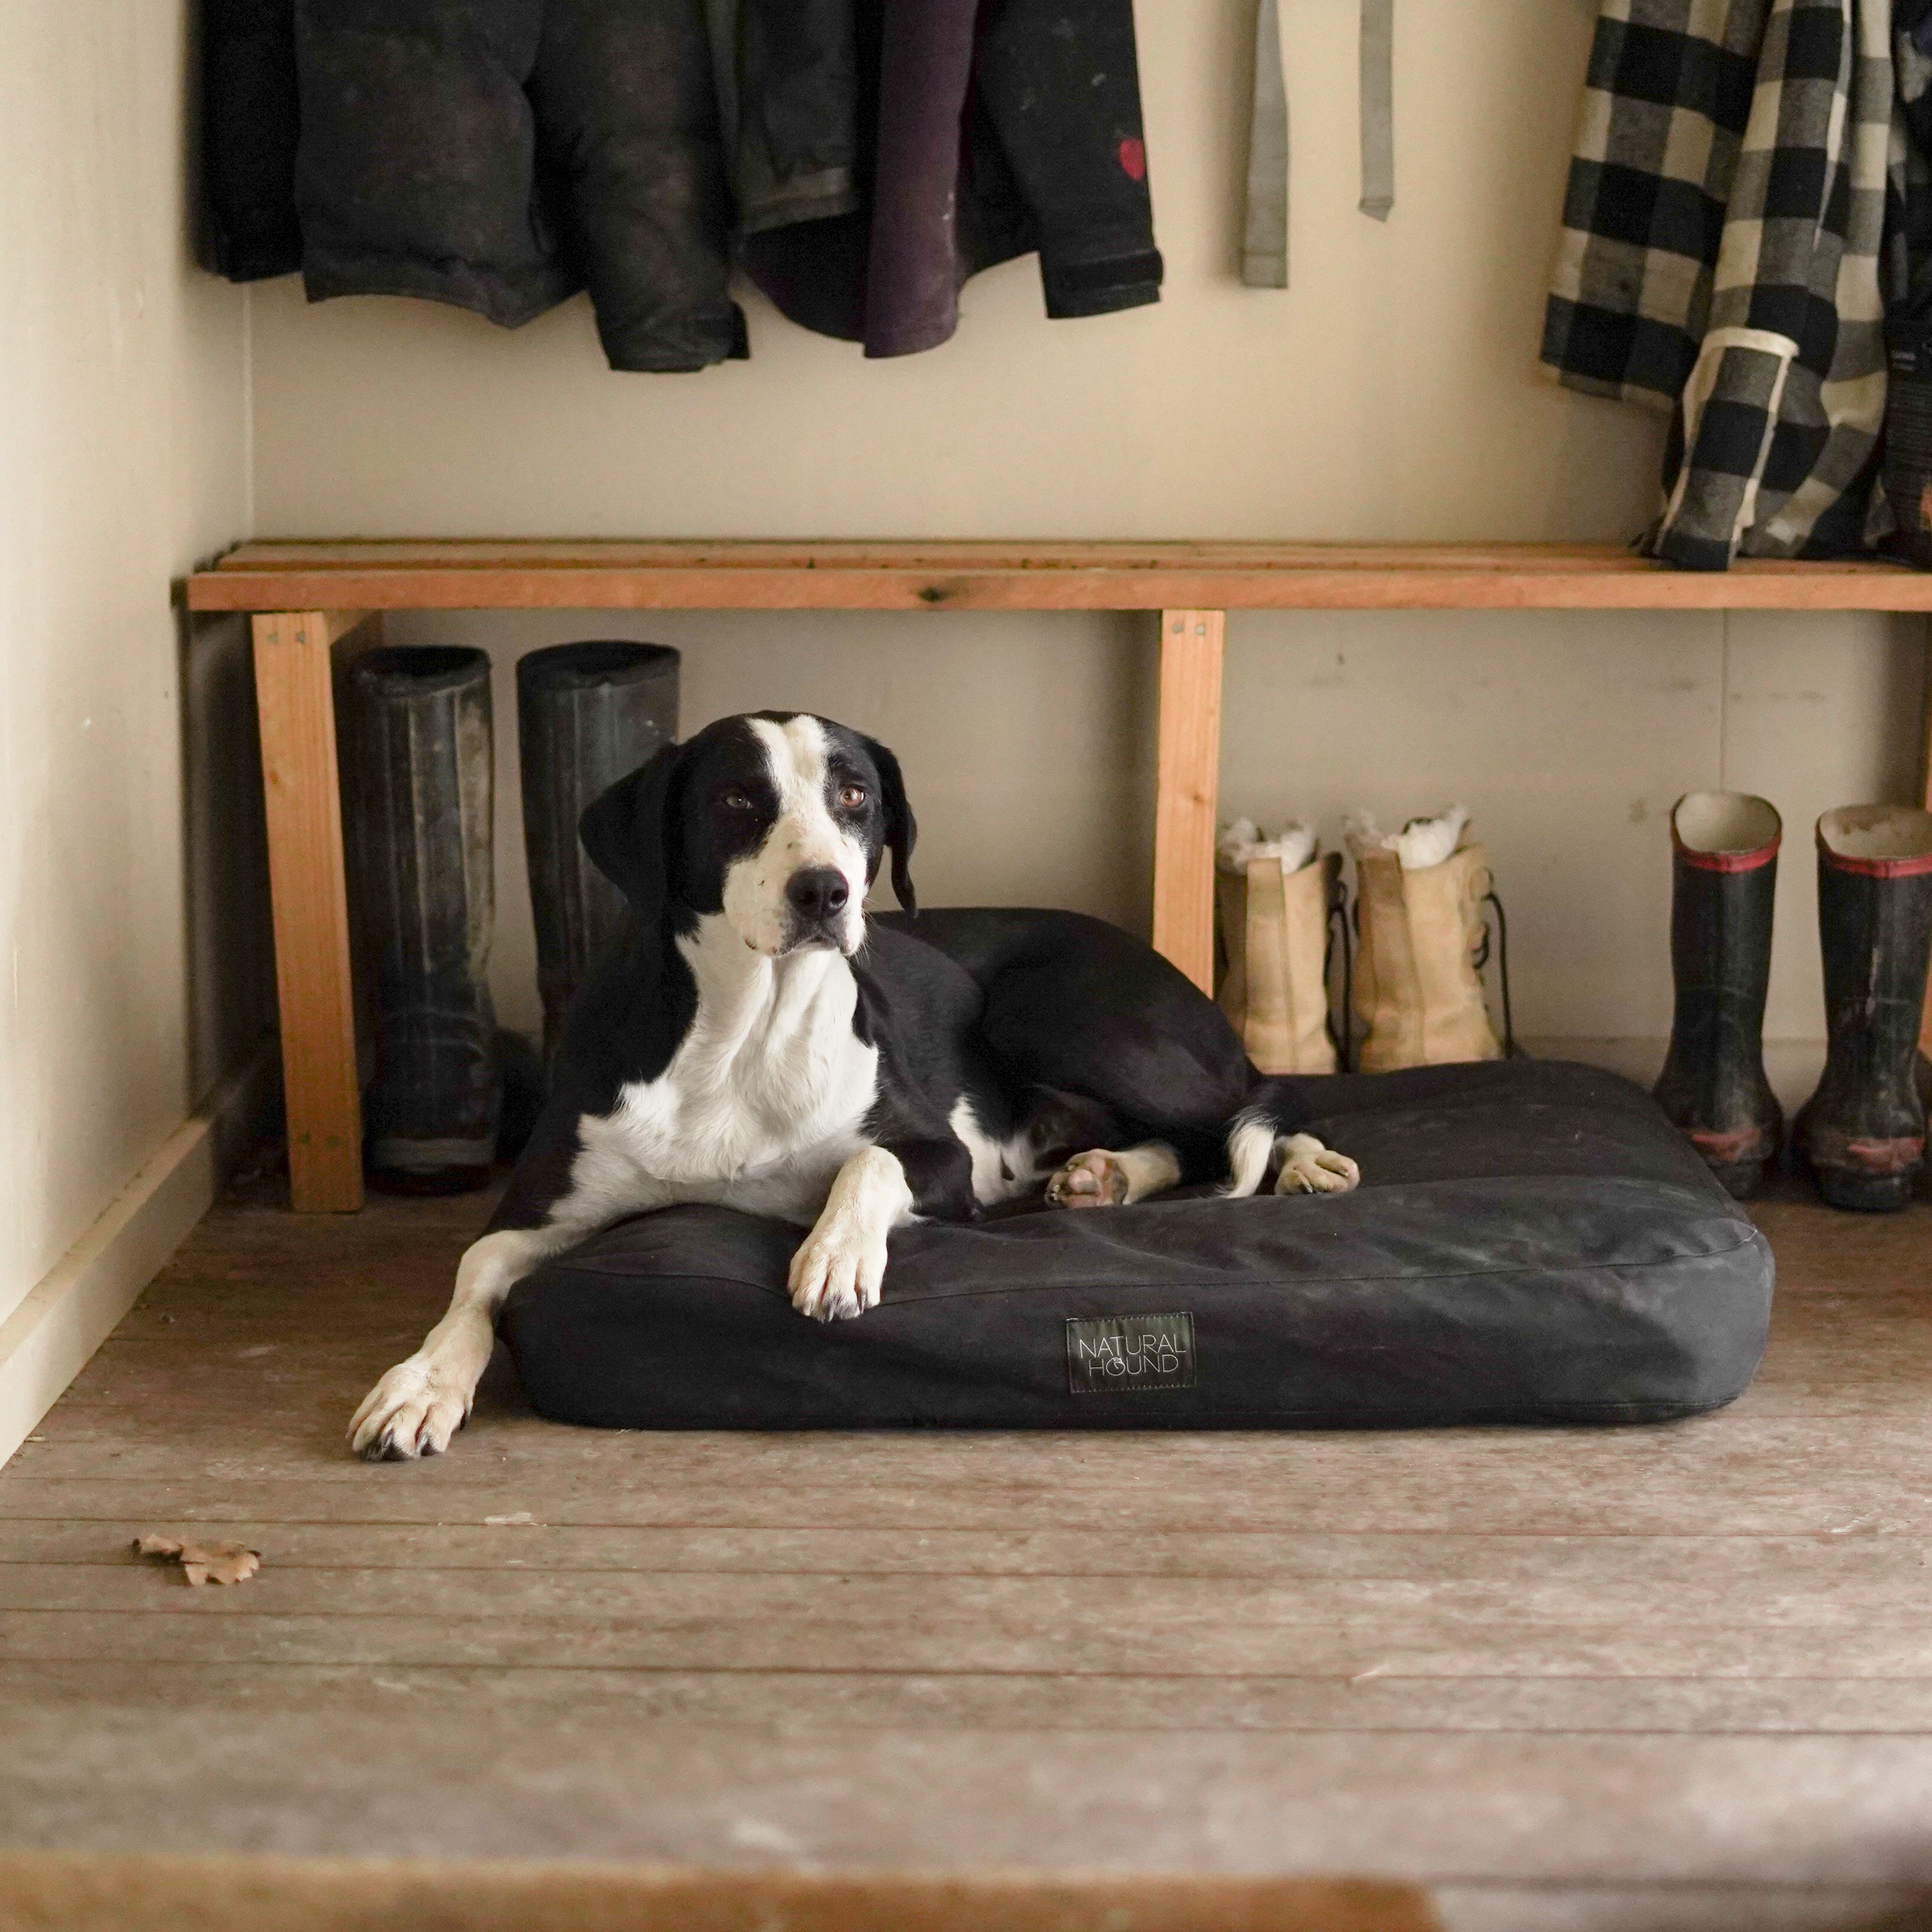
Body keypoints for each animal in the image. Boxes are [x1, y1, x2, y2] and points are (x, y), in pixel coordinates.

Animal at [351, 719, 1360, 1452]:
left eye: (854, 797)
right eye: (736, 798)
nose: (823, 891)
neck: (740, 1034)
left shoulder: (943, 1157)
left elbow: (866, 1162)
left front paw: (834, 1254)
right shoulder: (536, 1208)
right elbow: (474, 1280)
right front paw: (420, 1381)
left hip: (1054, 1011)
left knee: (1247, 1105)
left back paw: (1300, 1163)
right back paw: (1104, 1172)